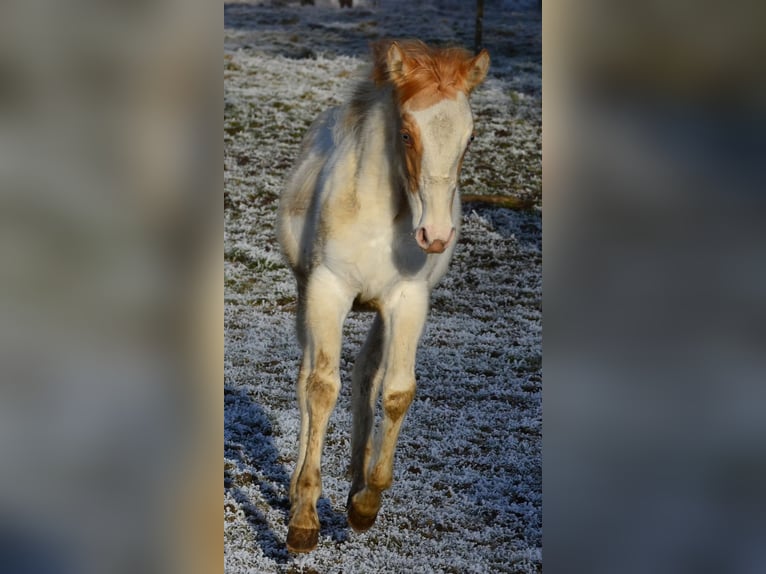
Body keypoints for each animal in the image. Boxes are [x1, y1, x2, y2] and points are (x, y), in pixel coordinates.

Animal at [278, 39, 492, 552]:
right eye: (408, 135)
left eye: (470, 138)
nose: (435, 235)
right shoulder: (327, 290)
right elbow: (320, 388)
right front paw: (304, 519)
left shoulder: (408, 300)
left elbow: (395, 391)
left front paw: (365, 503)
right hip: (307, 292)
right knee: (307, 378)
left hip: (377, 310)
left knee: (366, 377)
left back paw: (356, 479)